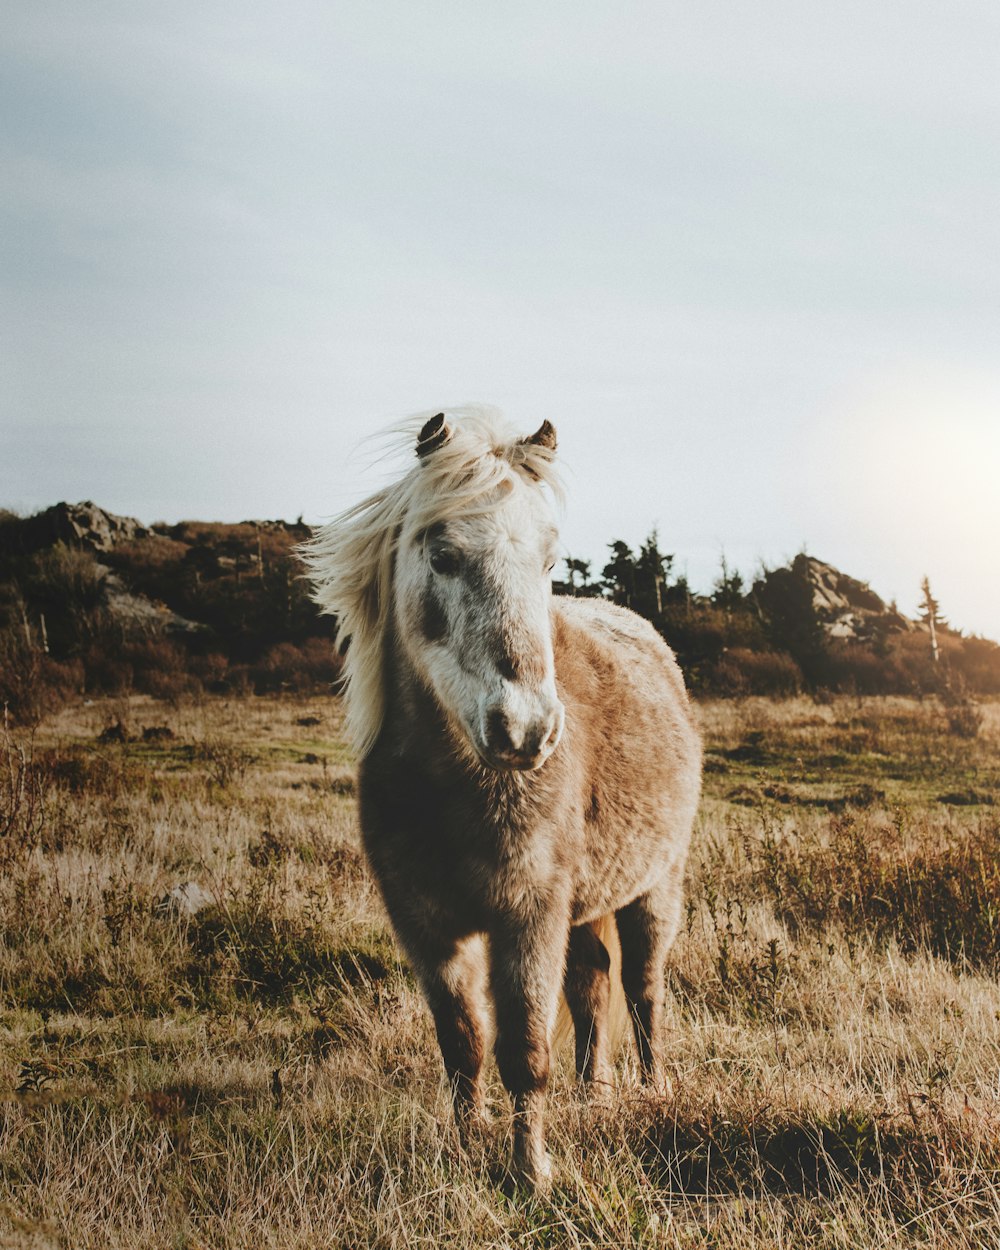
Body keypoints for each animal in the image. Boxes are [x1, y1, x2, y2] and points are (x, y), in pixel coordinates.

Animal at [305, 410, 705, 1190]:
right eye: (444, 556)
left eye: (550, 562)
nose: (527, 730)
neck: (453, 788)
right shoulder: (428, 929)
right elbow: (463, 1043)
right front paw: (465, 1149)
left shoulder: (526, 915)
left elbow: (523, 1050)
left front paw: (531, 1174)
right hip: (585, 907)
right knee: (593, 985)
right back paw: (596, 1093)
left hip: (654, 889)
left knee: (642, 990)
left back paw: (652, 1089)